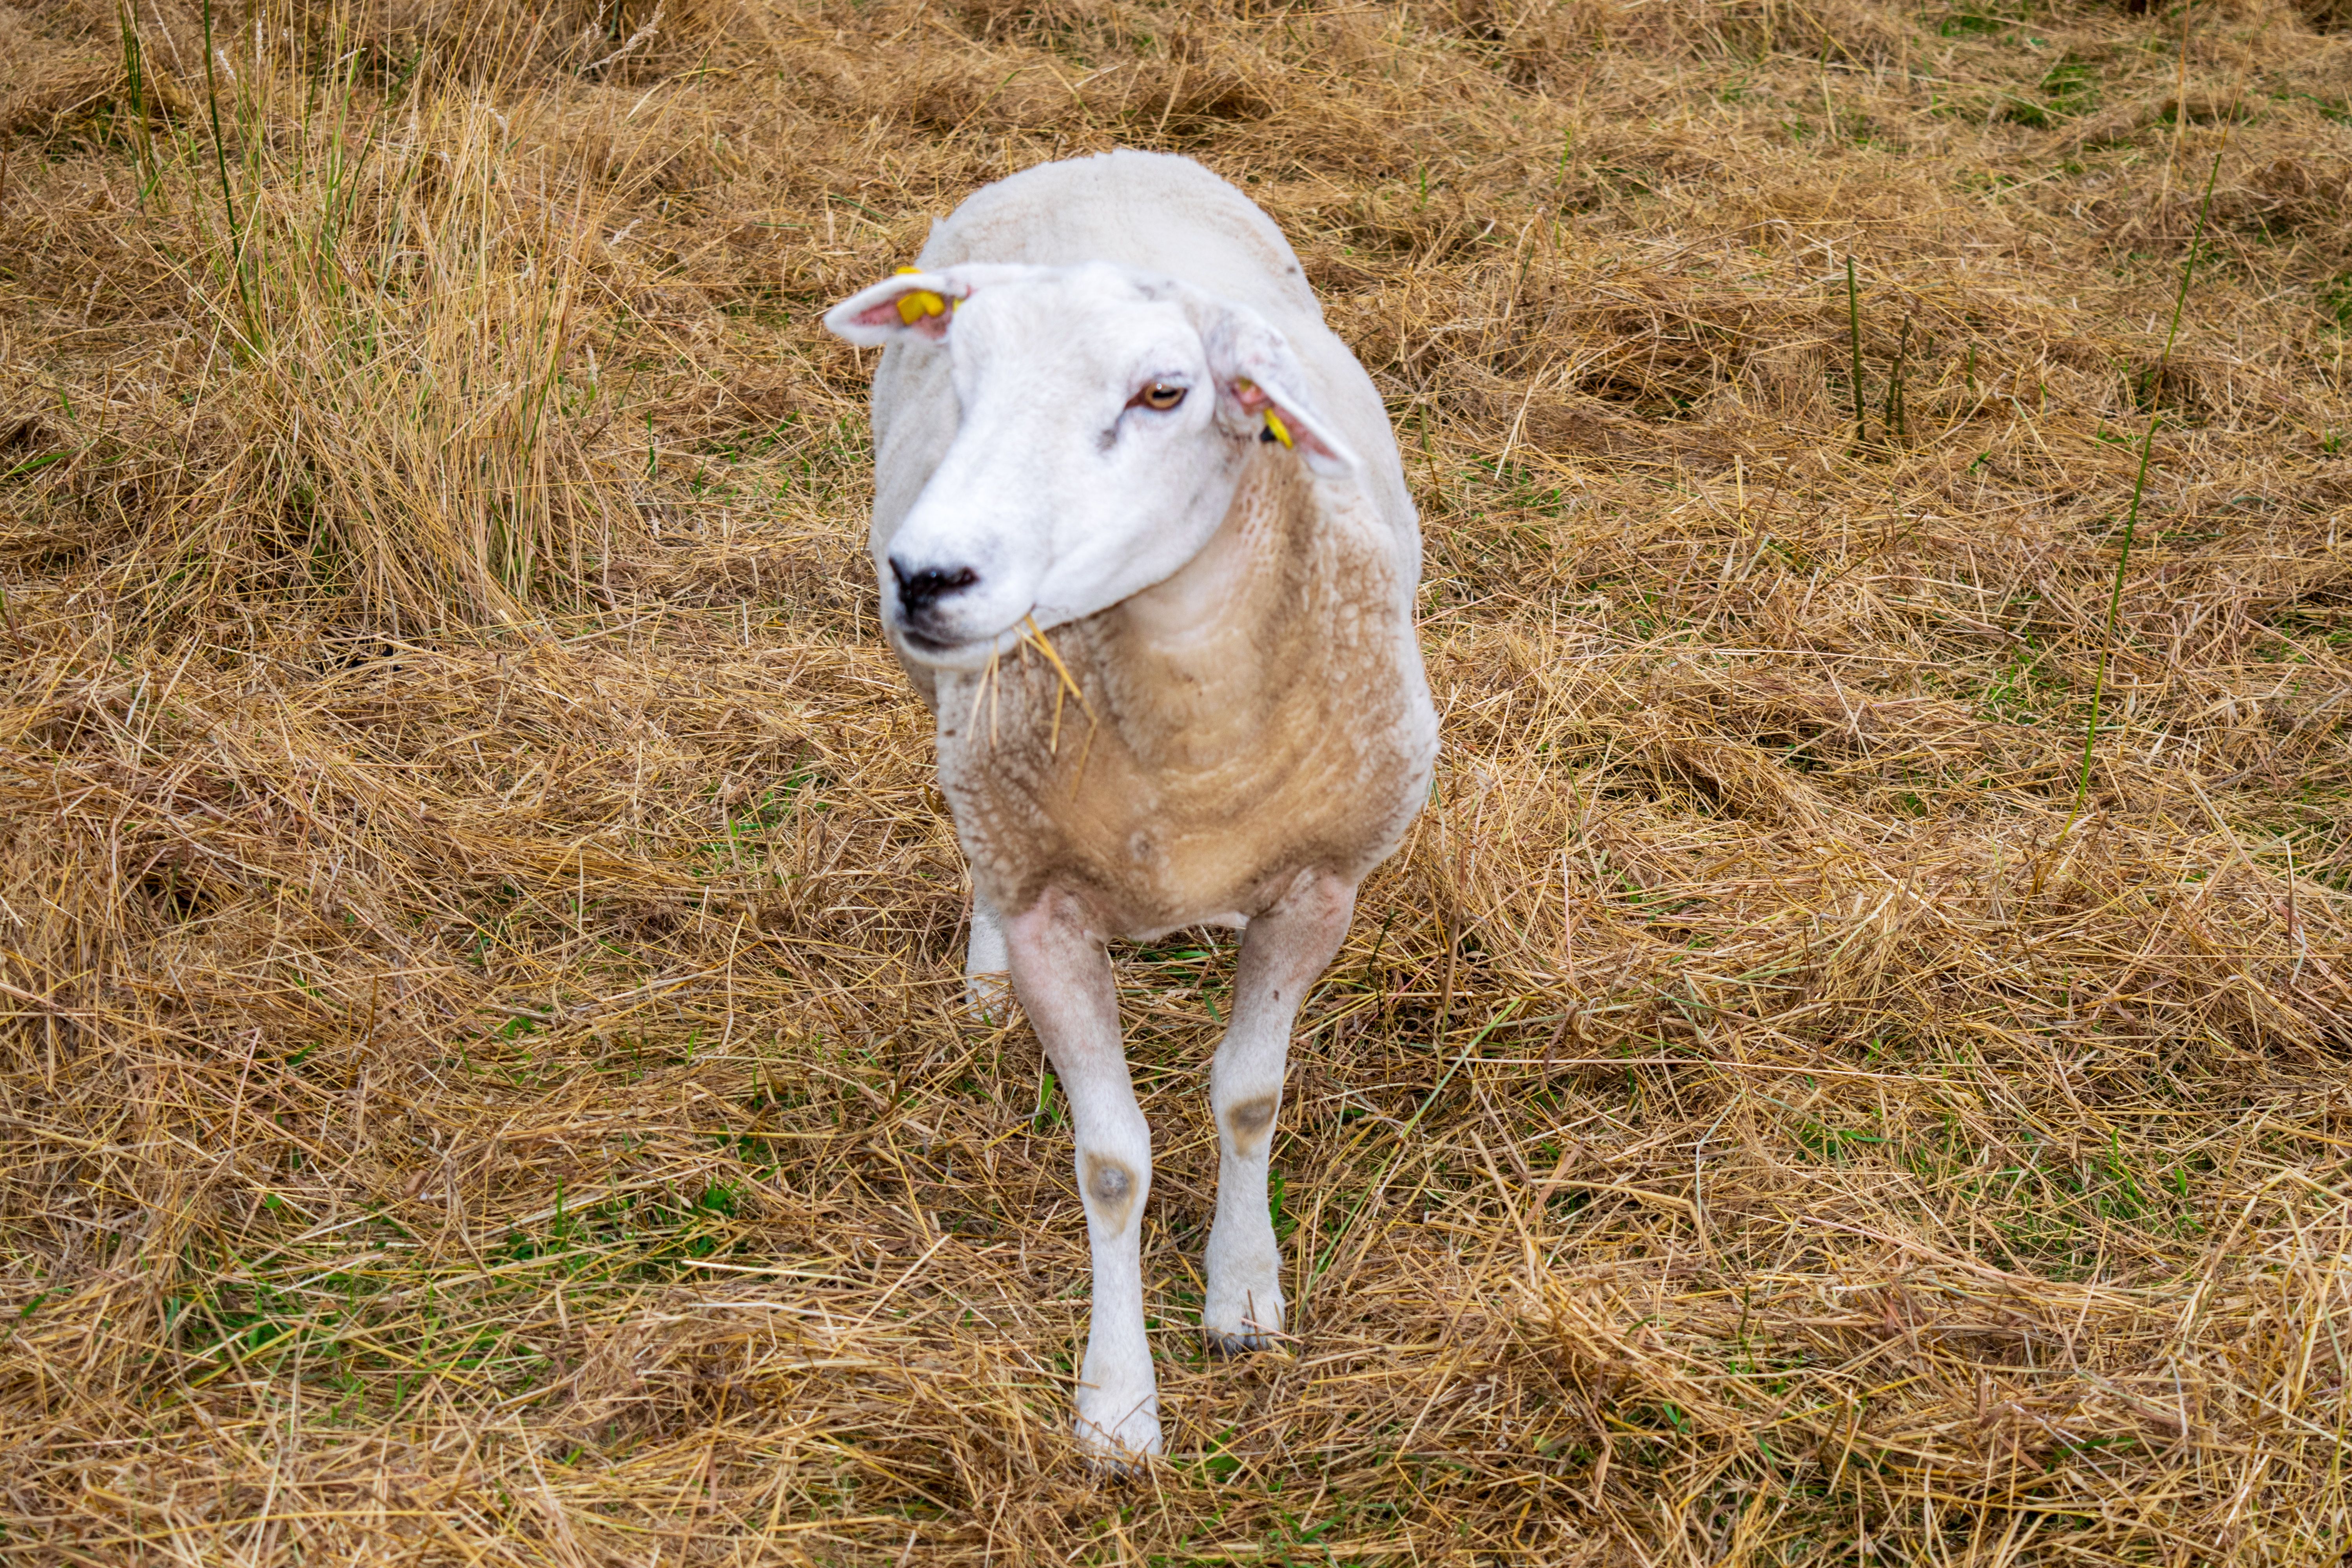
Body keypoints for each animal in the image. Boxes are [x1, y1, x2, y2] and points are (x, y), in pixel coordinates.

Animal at [824, 149, 1436, 1467]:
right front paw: (1115, 1405)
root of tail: (1095, 156)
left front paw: (1243, 1290)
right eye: (965, 376)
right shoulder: (1051, 901)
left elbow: (1250, 1097)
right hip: (971, 749)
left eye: (1165, 393)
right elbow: (1110, 1163)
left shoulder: (1319, 888)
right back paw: (981, 977)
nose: (926, 578)